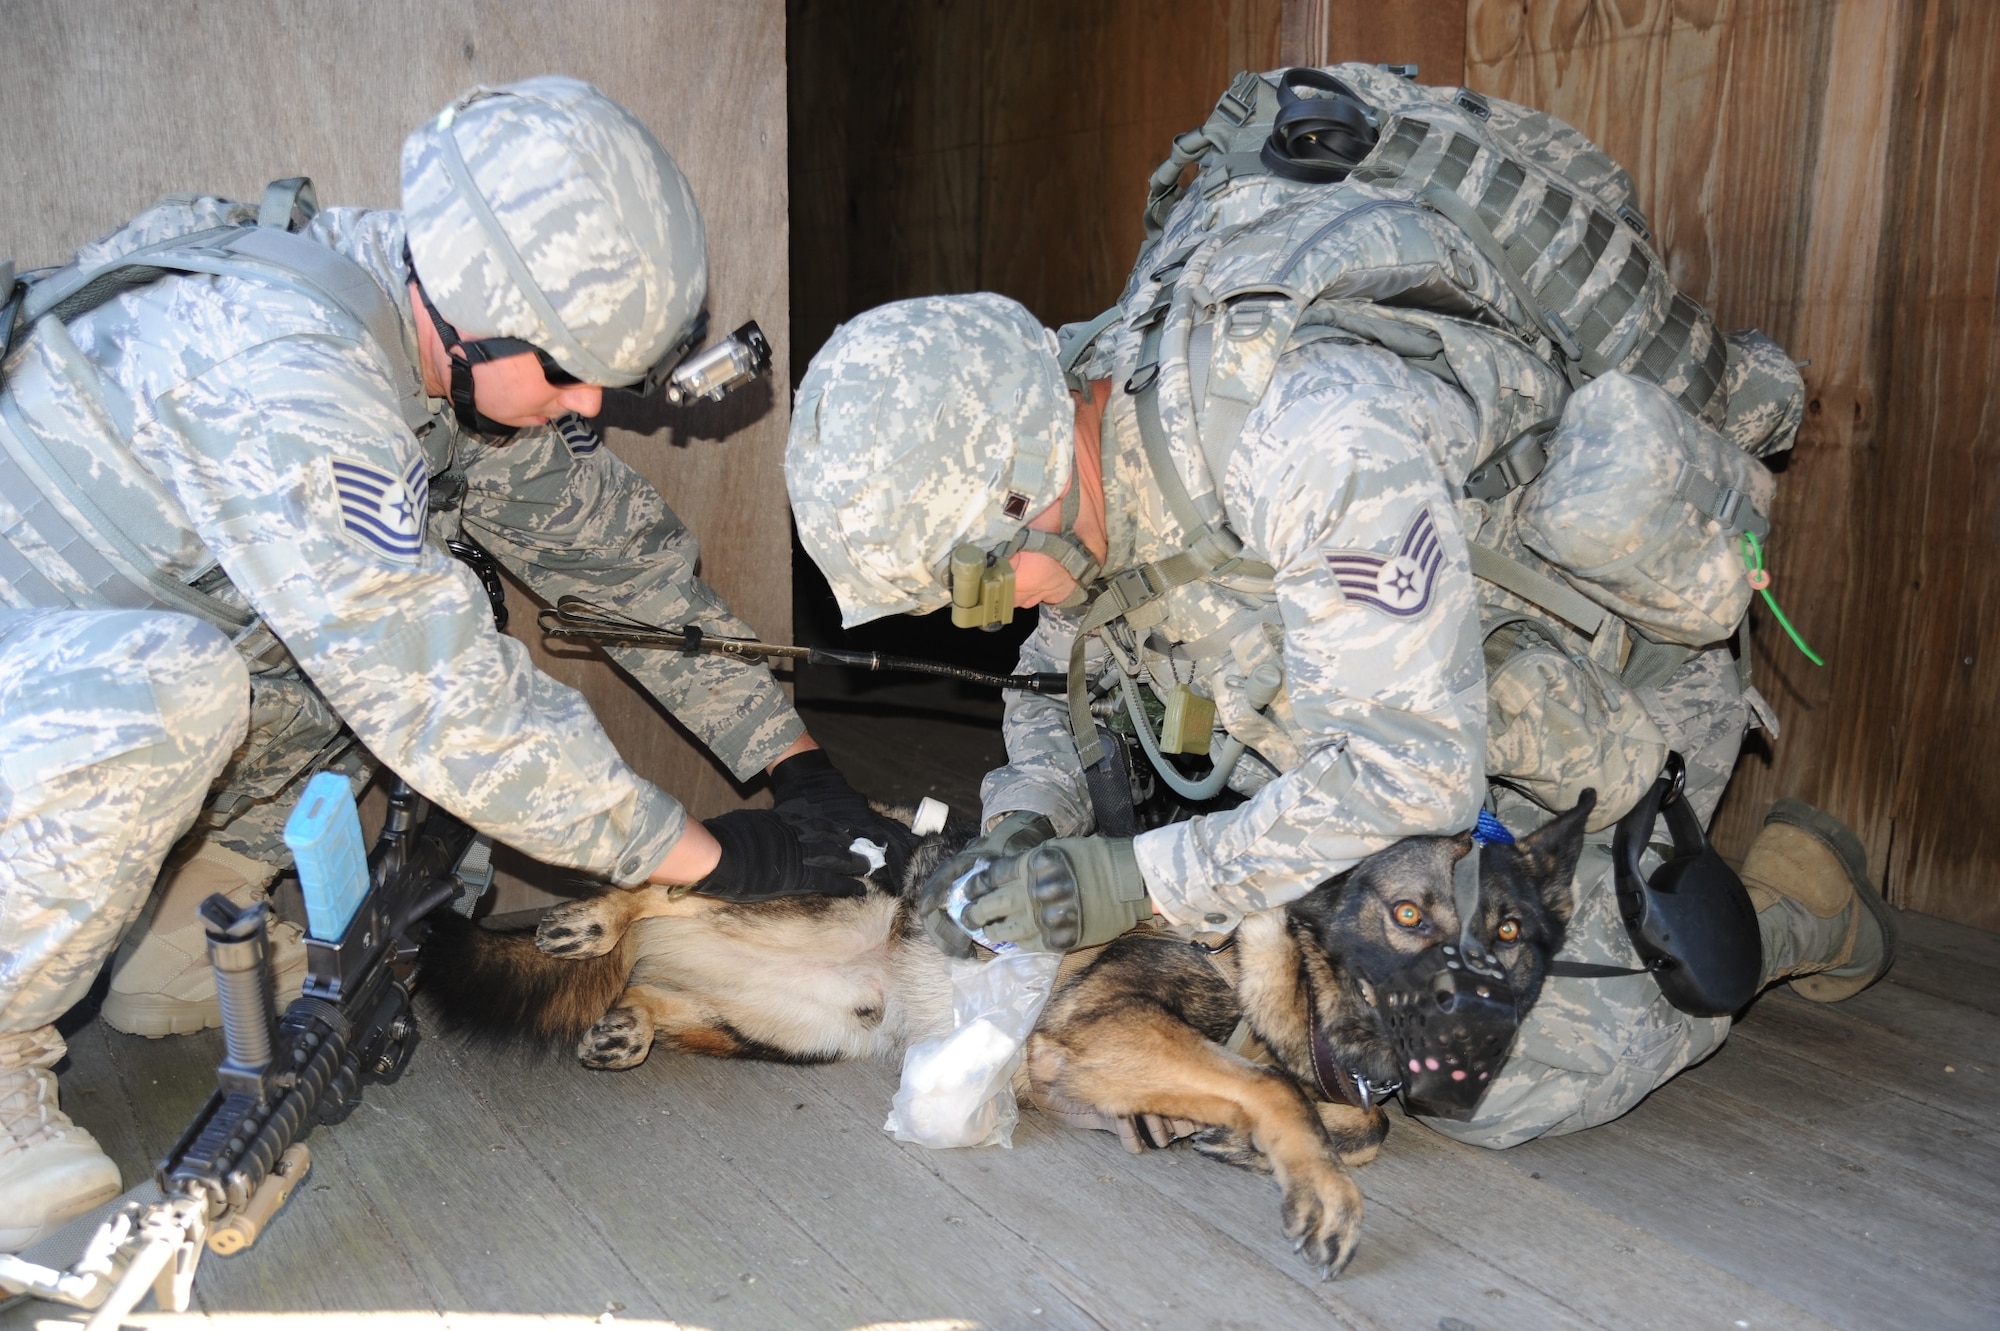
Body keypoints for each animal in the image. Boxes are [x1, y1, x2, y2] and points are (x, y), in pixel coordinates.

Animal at [422, 791, 1592, 1271]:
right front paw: (1308, 1172)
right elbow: (1280, 1092)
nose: (1472, 1045)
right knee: (658, 883)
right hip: (808, 901)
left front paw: (1231, 1135)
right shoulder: (1105, 1023)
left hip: (821, 1025)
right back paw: (594, 920)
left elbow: (1346, 1116)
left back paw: (629, 1019)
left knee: (667, 990)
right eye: (1410, 915)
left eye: (1510, 934)